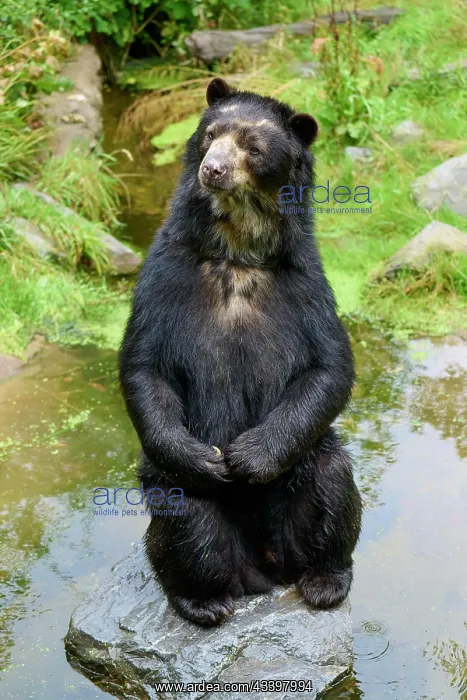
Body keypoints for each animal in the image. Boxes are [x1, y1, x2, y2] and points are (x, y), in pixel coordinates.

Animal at [119, 77, 362, 626]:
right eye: (211, 134)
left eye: (253, 146)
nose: (213, 168)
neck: (237, 251)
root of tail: (264, 571)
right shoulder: (165, 275)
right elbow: (145, 366)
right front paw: (209, 459)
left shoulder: (305, 285)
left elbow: (329, 365)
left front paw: (247, 457)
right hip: (191, 515)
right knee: (184, 517)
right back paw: (204, 599)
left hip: (303, 489)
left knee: (333, 480)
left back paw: (325, 580)